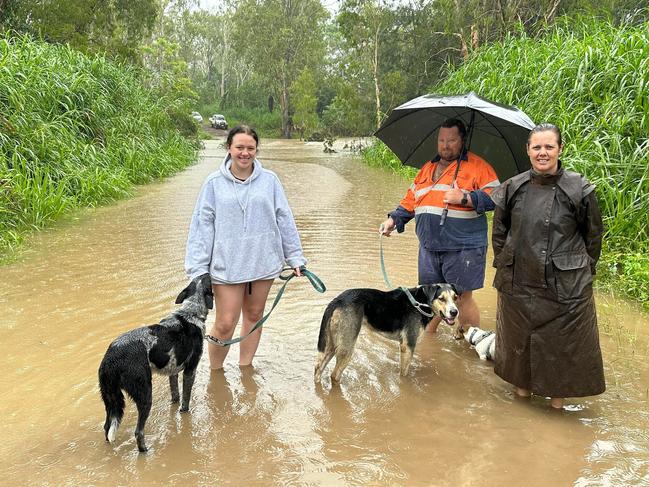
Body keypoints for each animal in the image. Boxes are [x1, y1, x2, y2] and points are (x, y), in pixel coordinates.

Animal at [97, 274, 213, 454]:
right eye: (208, 280)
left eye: (201, 277)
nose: (208, 273)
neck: (190, 312)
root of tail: (111, 357)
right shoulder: (190, 370)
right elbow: (185, 400)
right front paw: (184, 412)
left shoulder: (173, 371)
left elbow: (175, 395)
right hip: (145, 394)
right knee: (138, 431)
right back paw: (145, 451)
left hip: (111, 398)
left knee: (107, 427)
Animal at [314, 284, 460, 384]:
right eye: (441, 299)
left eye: (455, 298)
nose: (455, 312)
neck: (421, 301)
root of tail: (337, 300)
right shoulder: (408, 345)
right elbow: (404, 373)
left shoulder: (402, 344)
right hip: (347, 347)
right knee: (334, 375)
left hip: (332, 344)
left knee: (318, 368)